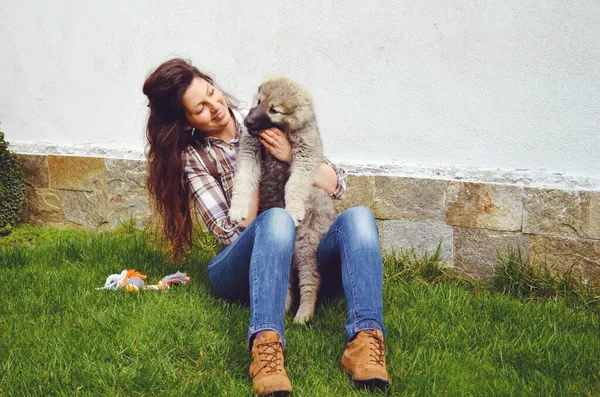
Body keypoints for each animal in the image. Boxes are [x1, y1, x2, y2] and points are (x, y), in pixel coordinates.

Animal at [229, 76, 338, 324]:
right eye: (258, 101)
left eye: (274, 110)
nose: (247, 122)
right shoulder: (249, 149)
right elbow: (243, 180)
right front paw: (237, 209)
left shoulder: (305, 153)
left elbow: (295, 183)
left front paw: (294, 208)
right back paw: (285, 308)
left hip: (307, 244)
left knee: (311, 281)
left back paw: (303, 315)